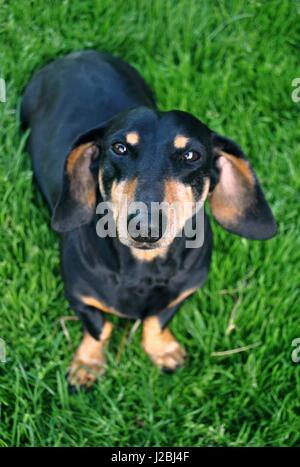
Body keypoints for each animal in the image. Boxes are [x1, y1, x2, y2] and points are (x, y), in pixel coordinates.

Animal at [21, 50, 276, 388]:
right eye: (119, 147)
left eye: (191, 155)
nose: (145, 226)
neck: (144, 268)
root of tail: (78, 53)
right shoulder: (78, 296)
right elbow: (99, 327)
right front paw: (87, 364)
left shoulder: (184, 290)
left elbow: (157, 319)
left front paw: (163, 351)